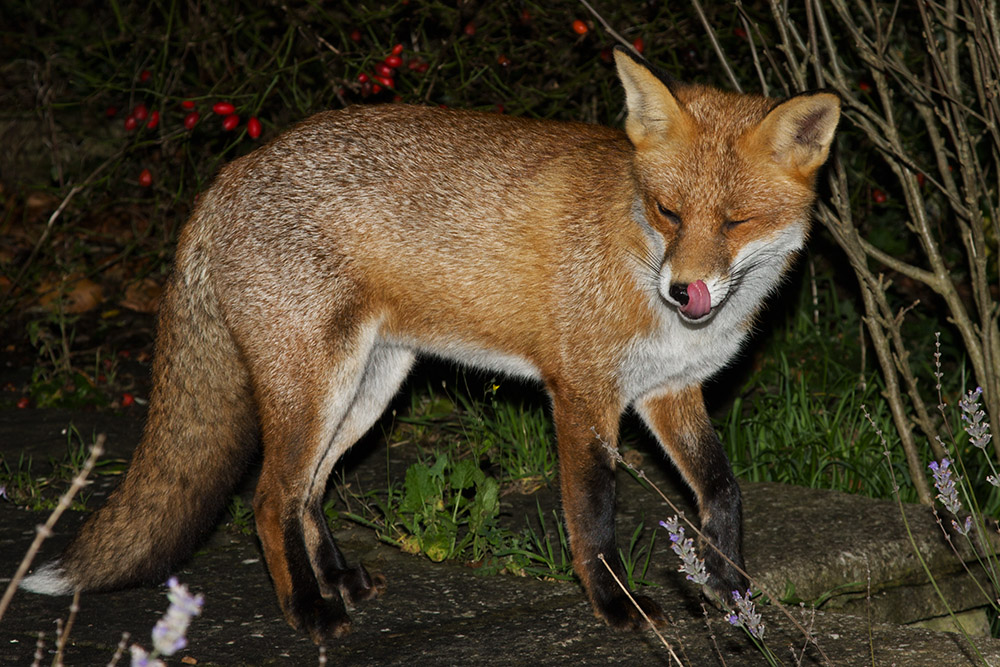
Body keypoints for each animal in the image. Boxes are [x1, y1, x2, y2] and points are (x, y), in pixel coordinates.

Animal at [21, 47, 839, 643]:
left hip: (370, 386)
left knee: (309, 490)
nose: (682, 292)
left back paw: (338, 579)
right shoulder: (582, 394)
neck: (634, 252)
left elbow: (722, 490)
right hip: (314, 386)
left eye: (735, 221)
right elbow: (594, 515)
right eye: (669, 212)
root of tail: (226, 176)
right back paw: (309, 611)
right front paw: (619, 608)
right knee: (268, 497)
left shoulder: (668, 391)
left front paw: (731, 593)